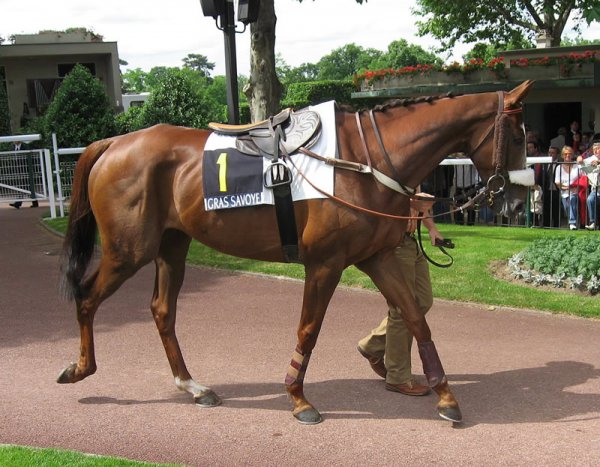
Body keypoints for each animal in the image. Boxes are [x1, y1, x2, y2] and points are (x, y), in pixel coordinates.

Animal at [57, 82, 536, 426]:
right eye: (516, 135)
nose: (515, 204)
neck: (363, 160)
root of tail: (114, 142)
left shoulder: (377, 257)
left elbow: (417, 318)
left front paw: (446, 396)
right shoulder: (324, 264)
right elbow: (309, 329)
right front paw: (298, 397)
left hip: (172, 245)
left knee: (161, 311)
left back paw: (192, 386)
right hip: (127, 250)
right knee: (86, 296)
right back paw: (81, 368)